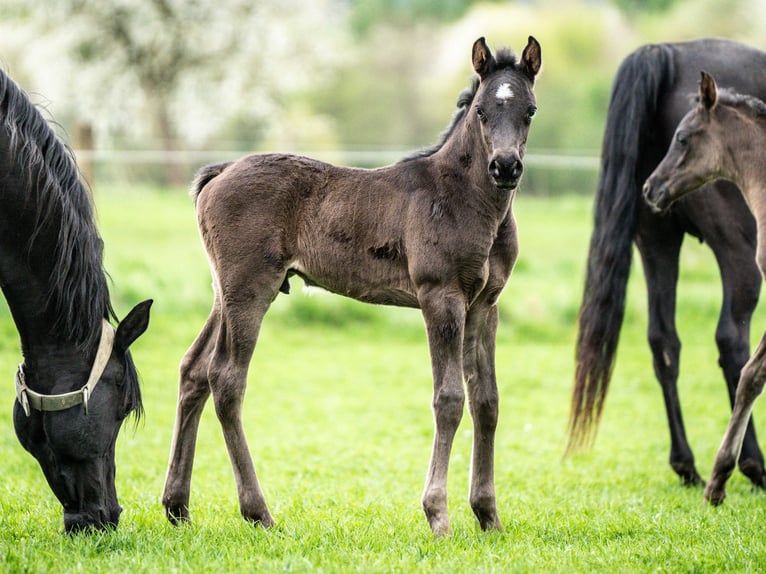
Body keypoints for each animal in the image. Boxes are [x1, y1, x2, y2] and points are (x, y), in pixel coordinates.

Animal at [161, 36, 541, 536]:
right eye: (480, 110)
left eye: (529, 110)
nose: (505, 166)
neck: (467, 199)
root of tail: (219, 172)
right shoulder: (440, 296)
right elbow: (449, 398)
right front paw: (438, 515)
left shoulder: (485, 304)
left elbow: (487, 401)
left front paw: (488, 515)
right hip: (249, 288)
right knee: (225, 378)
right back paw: (258, 511)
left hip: (224, 291)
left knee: (193, 369)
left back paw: (177, 506)